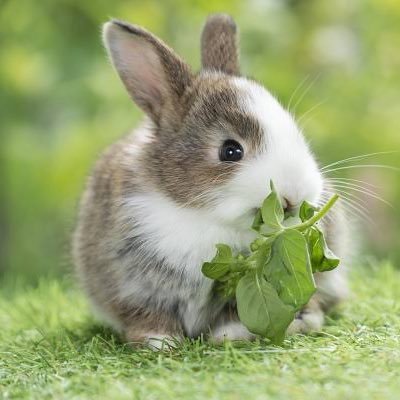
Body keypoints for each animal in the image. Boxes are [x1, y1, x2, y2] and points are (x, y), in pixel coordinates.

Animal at [73, 14, 348, 348]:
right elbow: (147, 315)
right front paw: (159, 342)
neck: (206, 215)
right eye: (230, 150)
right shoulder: (133, 286)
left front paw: (230, 334)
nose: (297, 194)